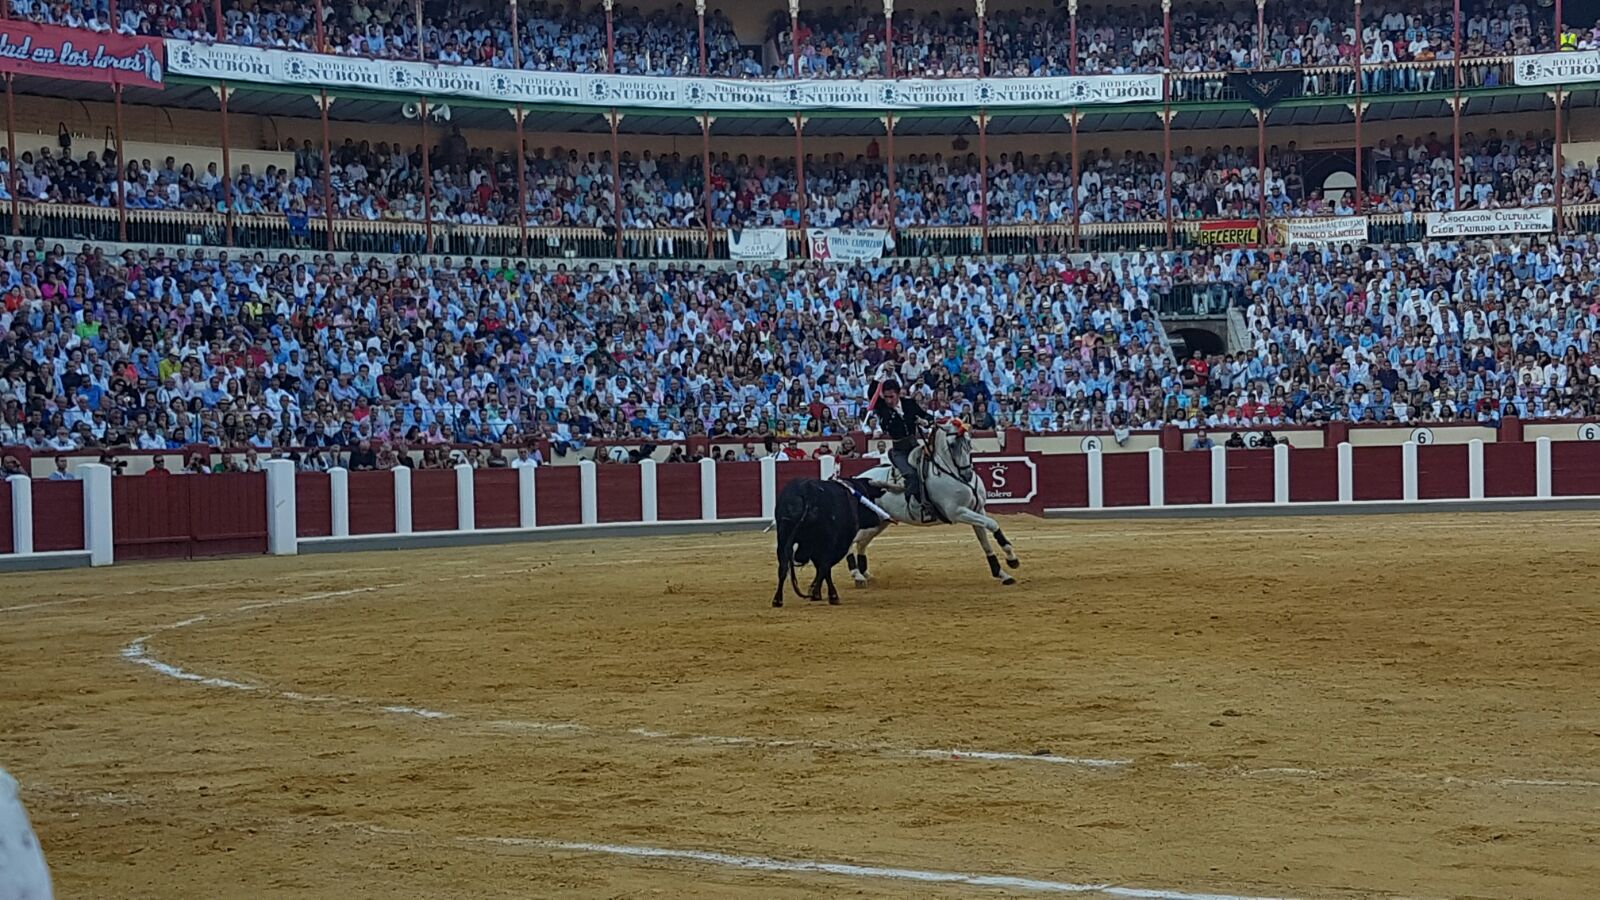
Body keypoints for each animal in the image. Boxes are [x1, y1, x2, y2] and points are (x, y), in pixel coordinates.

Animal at [768, 474, 883, 605]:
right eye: (867, 499)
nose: (877, 518)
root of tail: (807, 492)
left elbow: (821, 567)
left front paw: (814, 591)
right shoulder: (838, 544)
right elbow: (825, 566)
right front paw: (821, 594)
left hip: (783, 537)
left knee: (782, 566)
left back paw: (777, 600)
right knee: (823, 565)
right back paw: (830, 595)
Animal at [844, 419, 1017, 586]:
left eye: (969, 441)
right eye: (952, 445)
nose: (967, 474)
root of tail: (857, 479)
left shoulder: (978, 509)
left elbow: (985, 540)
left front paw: (1003, 573)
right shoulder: (957, 512)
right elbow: (992, 524)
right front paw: (1012, 559)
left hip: (879, 523)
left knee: (861, 543)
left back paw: (865, 573)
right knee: (852, 542)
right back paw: (857, 575)